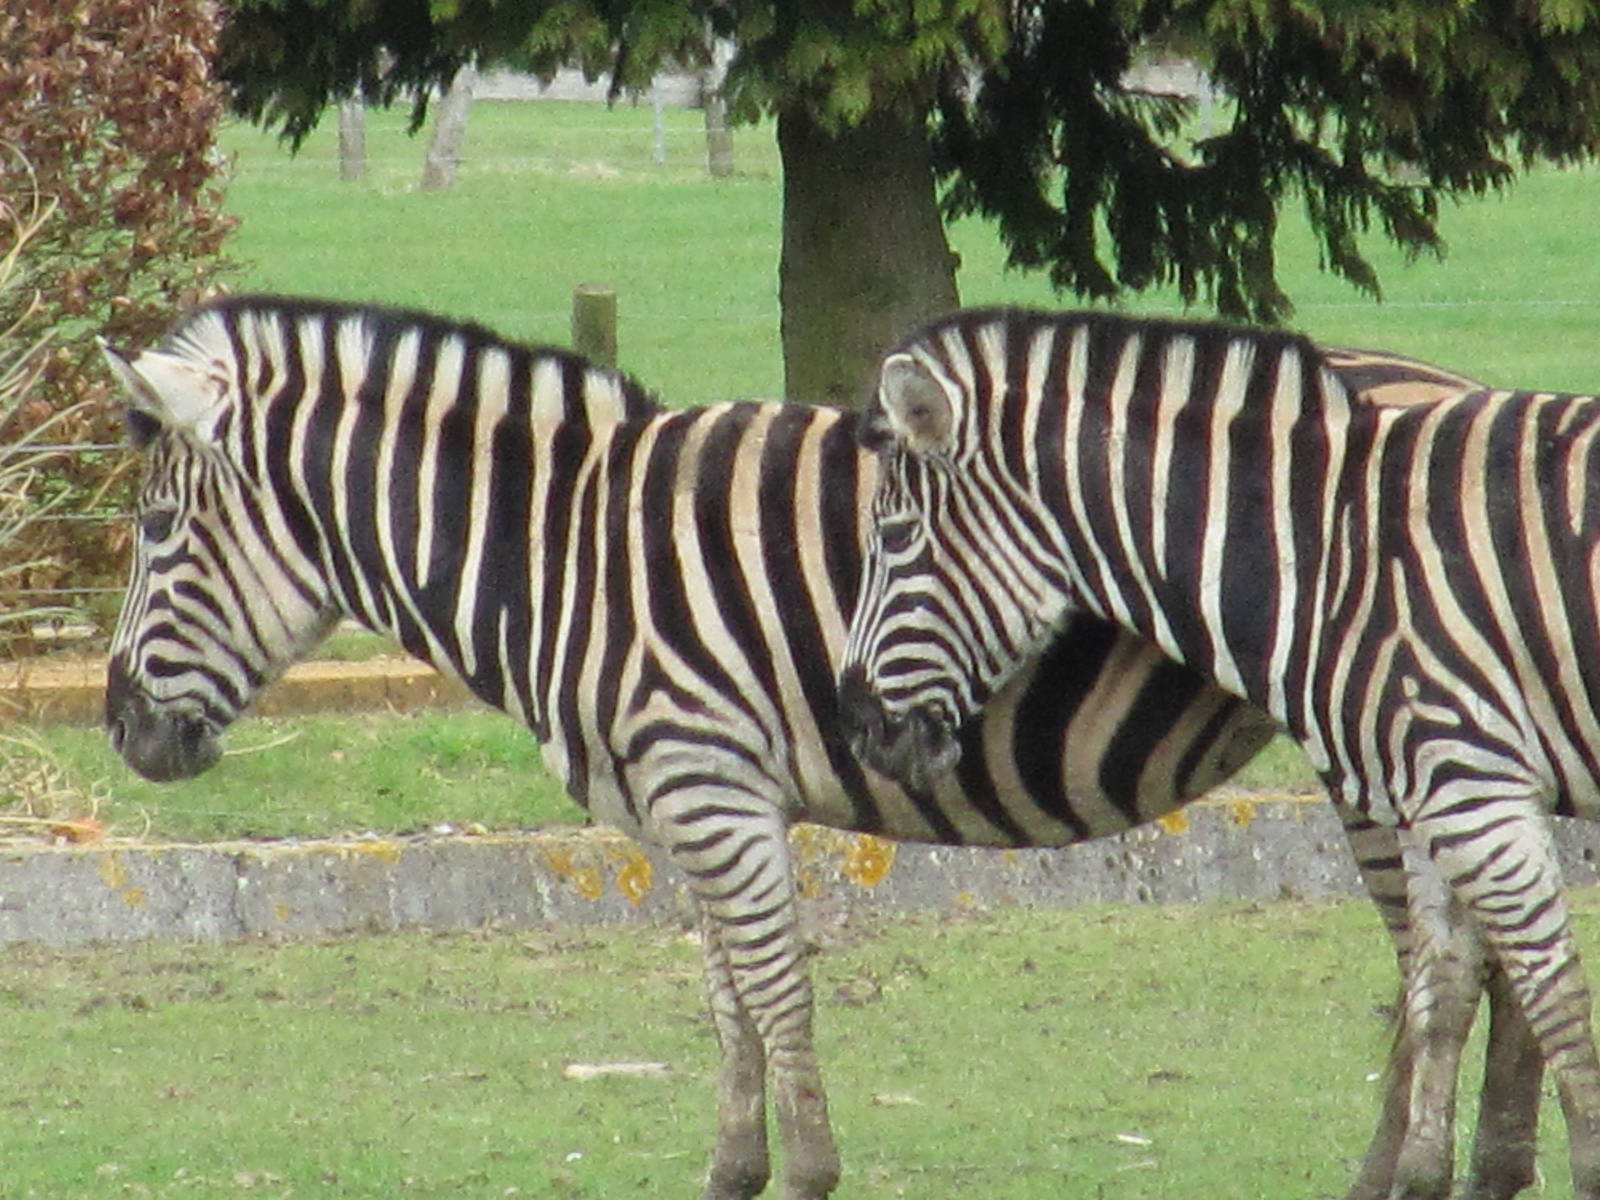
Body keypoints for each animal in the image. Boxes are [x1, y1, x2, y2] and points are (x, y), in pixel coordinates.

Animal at [101, 294, 1497, 1199]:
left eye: (159, 532)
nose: (118, 729)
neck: (563, 553)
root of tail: (1457, 386)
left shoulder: (711, 786)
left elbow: (775, 995)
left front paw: (809, 1171)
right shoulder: (675, 803)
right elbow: (724, 1002)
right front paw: (732, 1170)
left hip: (1380, 741)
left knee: (1440, 964)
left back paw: (1407, 1172)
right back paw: (1488, 1164)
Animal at [838, 305, 1600, 1200]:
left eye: (893, 537)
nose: (857, 724)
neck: (1331, 552)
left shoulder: (1473, 785)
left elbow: (1557, 1001)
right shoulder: (1430, 792)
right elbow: (1438, 993)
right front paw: (1418, 1179)